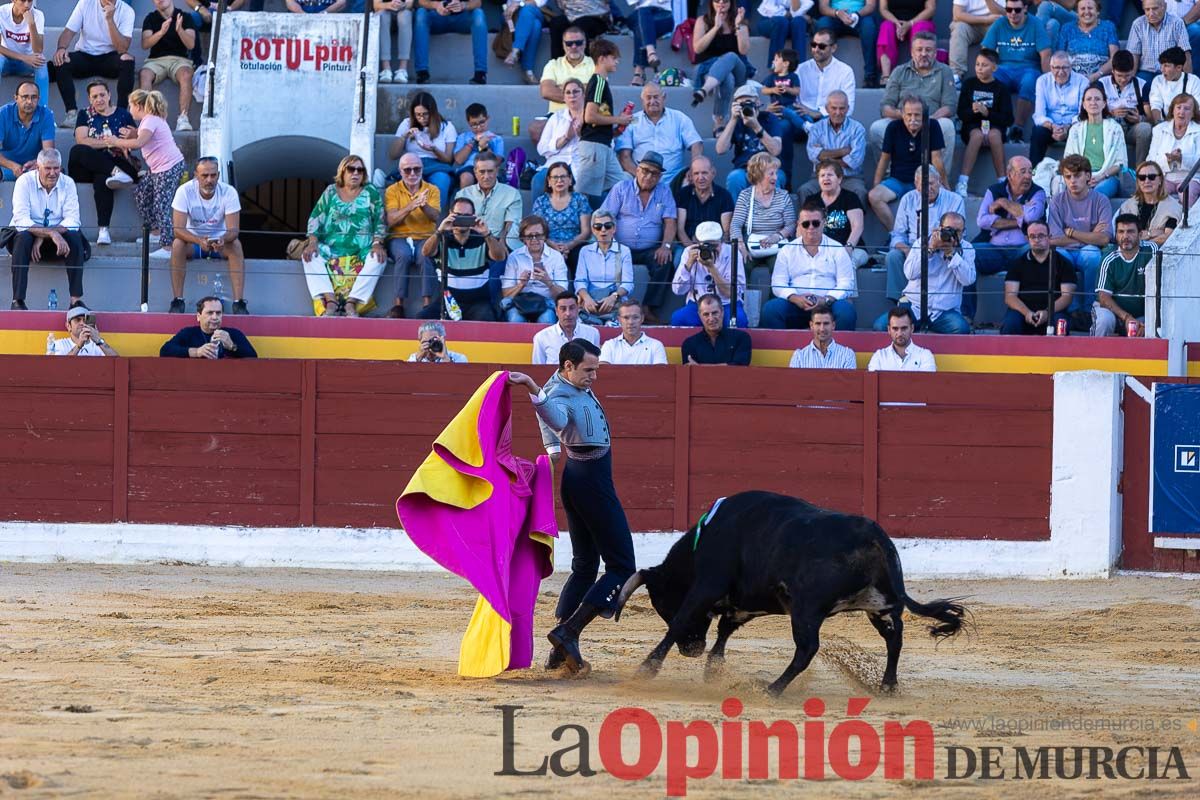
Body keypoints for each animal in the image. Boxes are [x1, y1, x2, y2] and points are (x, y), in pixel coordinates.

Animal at [614, 489, 969, 695]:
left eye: (664, 605)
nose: (692, 651)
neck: (704, 539)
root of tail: (874, 536)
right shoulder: (746, 601)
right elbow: (725, 628)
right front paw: (712, 670)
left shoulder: (707, 586)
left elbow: (682, 623)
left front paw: (645, 670)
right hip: (880, 605)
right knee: (894, 639)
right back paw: (887, 686)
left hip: (806, 609)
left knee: (807, 649)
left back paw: (772, 689)